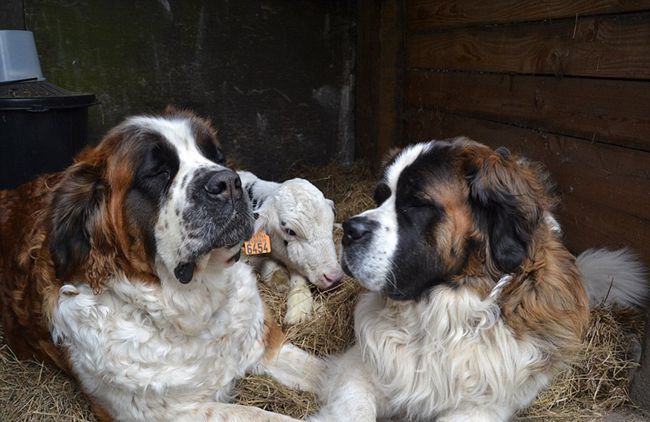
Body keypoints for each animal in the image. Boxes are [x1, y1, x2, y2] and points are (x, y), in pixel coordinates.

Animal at [0, 109, 322, 422]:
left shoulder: (267, 344)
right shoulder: (170, 412)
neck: (197, 301)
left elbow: (324, 372)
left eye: (217, 157)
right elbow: (264, 415)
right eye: (158, 171)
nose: (229, 183)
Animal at [312, 139, 644, 422]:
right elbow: (355, 409)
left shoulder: (482, 406)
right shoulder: (360, 366)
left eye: (416, 204)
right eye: (379, 197)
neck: (437, 316)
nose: (350, 229)